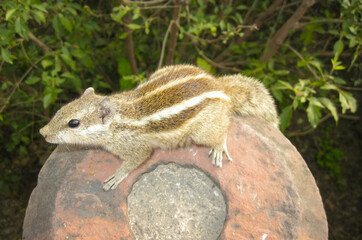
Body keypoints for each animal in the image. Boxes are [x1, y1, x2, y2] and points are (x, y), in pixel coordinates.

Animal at [39, 64, 278, 191]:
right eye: (61, 109)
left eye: (74, 123)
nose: (43, 132)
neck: (119, 117)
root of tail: (220, 86)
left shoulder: (136, 147)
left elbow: (136, 160)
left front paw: (117, 176)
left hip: (202, 131)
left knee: (221, 130)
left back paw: (219, 148)